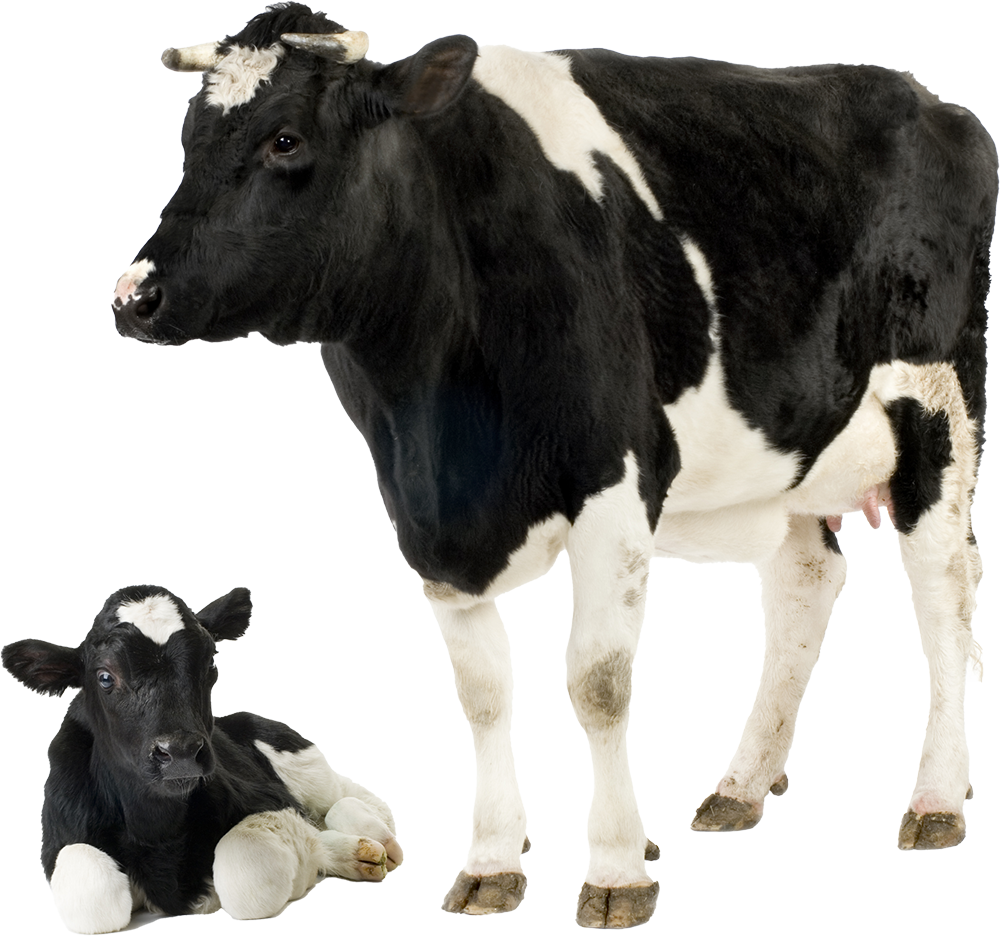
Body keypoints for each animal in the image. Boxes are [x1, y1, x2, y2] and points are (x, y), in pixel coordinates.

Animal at [1, 585, 402, 934]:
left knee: (343, 801)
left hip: (298, 758)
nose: (179, 752)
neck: (156, 827)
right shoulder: (60, 837)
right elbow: (93, 894)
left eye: (209, 662)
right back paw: (358, 854)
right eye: (104, 676)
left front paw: (308, 866)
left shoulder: (273, 800)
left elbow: (245, 874)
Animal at [109, 3, 998, 929]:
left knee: (945, 590)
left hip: (940, 409)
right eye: (188, 139)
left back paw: (936, 798)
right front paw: (493, 860)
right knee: (806, 582)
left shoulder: (615, 481)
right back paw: (742, 786)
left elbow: (598, 684)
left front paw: (616, 868)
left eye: (285, 139)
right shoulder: (423, 516)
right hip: (791, 446)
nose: (136, 297)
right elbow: (483, 693)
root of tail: (925, 96)